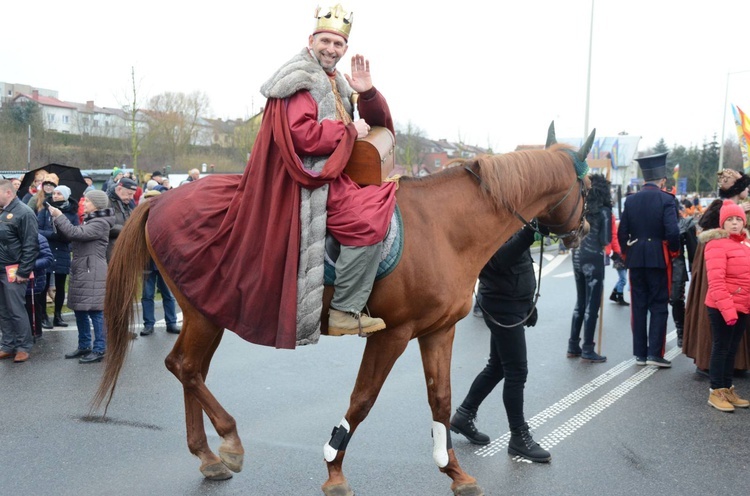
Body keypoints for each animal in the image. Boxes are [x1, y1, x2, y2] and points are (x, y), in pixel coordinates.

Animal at [94, 129, 596, 496]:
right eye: (590, 186)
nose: (585, 231)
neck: (445, 227)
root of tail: (159, 199)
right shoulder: (392, 333)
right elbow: (363, 399)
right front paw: (334, 468)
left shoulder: (438, 331)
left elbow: (441, 400)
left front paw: (454, 471)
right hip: (204, 314)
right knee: (186, 367)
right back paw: (229, 441)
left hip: (208, 314)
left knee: (188, 368)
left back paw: (208, 456)